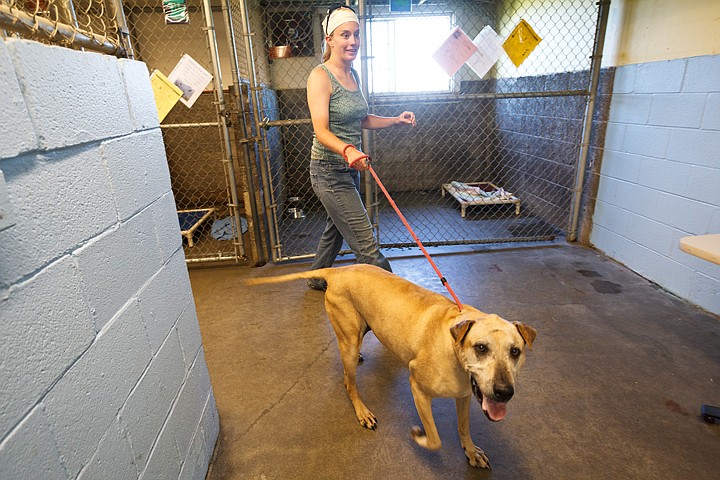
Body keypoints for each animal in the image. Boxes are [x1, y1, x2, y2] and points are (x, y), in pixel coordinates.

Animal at [246, 262, 536, 468]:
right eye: (481, 348)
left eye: (515, 351)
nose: (504, 392)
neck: (453, 345)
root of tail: (338, 270)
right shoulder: (418, 389)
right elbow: (435, 439)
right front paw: (419, 436)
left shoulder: (464, 395)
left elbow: (463, 427)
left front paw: (471, 452)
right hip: (349, 340)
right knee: (349, 383)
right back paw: (362, 411)